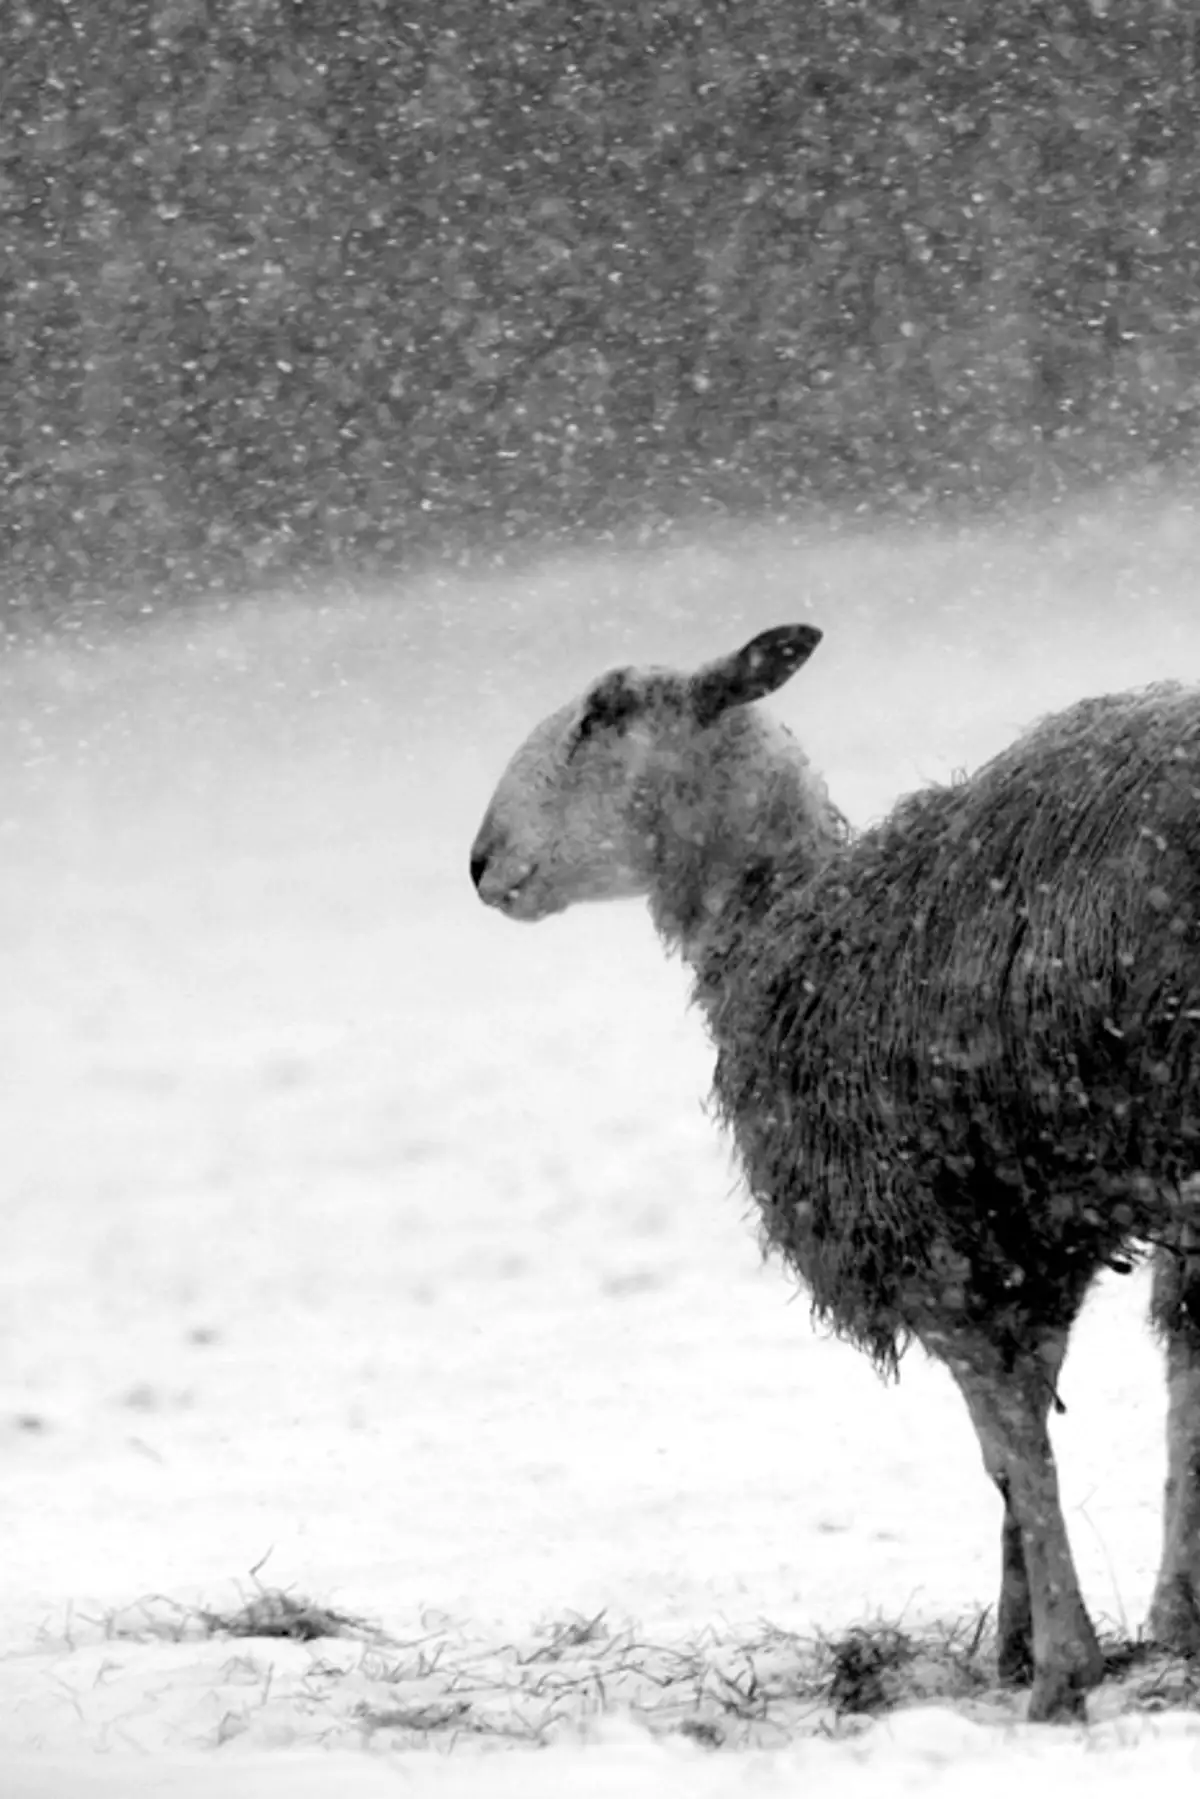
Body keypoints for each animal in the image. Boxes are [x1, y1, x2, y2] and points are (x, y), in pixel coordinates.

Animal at [468, 624, 1200, 1722]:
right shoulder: (1030, 1234)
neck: (788, 928)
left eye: (604, 710)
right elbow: (1022, 1444)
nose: (479, 861)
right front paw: (1023, 1642)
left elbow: (1013, 1443)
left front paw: (1061, 1669)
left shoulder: (925, 1227)